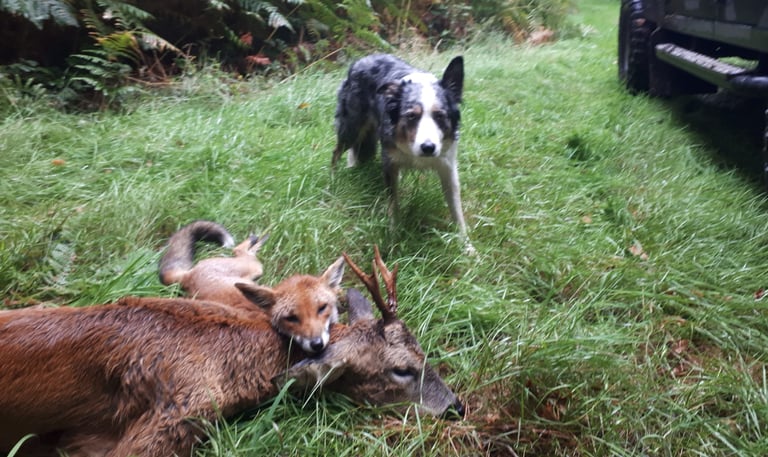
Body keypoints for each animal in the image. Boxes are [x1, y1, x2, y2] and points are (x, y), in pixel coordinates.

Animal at [159, 220, 345, 353]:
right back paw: (257, 240)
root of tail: (188, 274)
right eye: (291, 318)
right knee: (239, 250)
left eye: (322, 308)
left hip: (254, 273)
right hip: (253, 266)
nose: (316, 344)